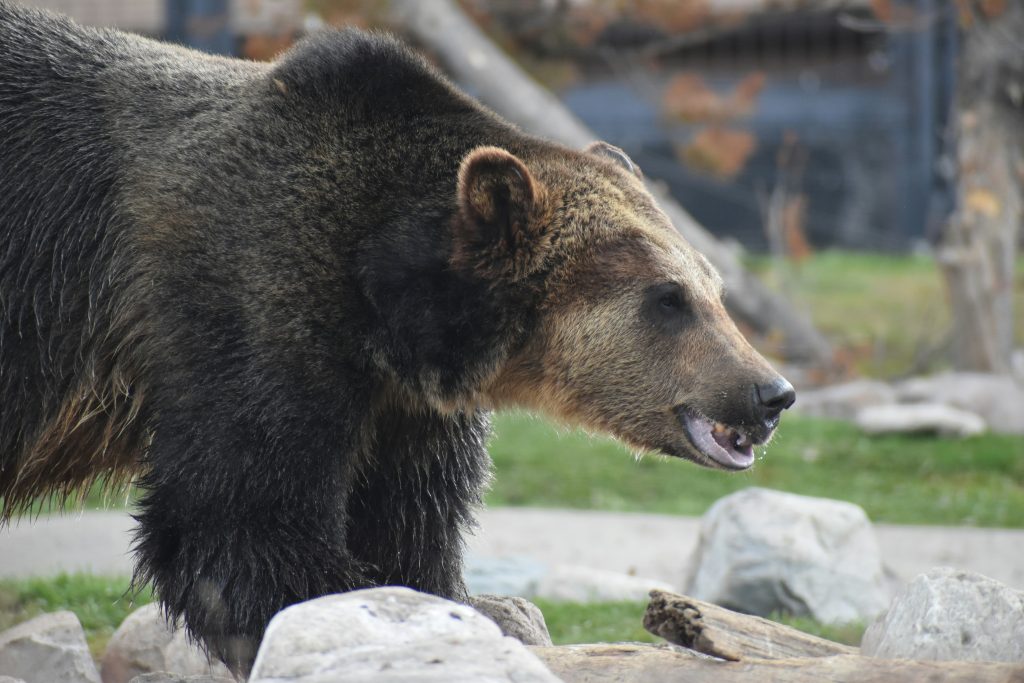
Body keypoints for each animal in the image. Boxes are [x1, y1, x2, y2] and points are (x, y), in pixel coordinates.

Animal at [0, 2, 795, 674]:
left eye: (715, 289)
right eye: (667, 298)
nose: (772, 392)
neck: (384, 305)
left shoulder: (404, 406)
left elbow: (411, 519)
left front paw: (474, 605)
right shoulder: (247, 310)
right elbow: (235, 522)